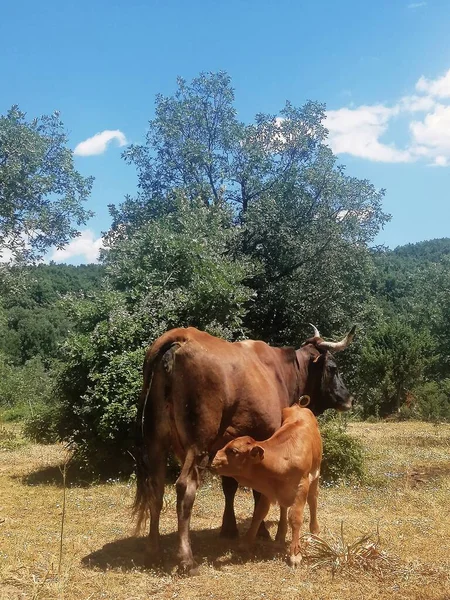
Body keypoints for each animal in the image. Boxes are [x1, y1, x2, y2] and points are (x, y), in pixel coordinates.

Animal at [210, 404, 320, 568]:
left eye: (233, 451)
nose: (212, 459)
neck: (282, 458)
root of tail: (299, 406)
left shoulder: (302, 485)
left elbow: (295, 517)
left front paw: (295, 554)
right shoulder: (268, 489)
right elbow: (258, 513)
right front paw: (246, 543)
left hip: (316, 474)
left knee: (313, 501)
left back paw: (314, 532)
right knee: (283, 508)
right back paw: (280, 536)